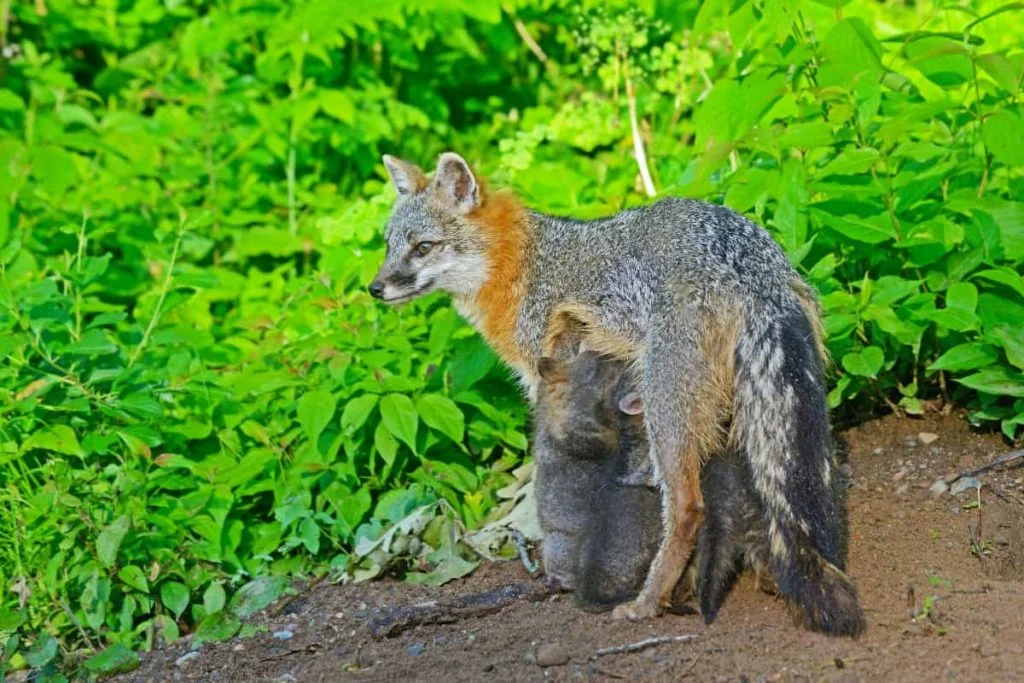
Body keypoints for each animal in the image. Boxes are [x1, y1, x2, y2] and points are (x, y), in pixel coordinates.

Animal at [369, 152, 866, 636]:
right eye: (388, 246)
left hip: (667, 410)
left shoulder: (546, 383)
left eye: (423, 246)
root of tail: (752, 268)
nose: (375, 288)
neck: (524, 263)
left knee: (688, 508)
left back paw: (648, 601)